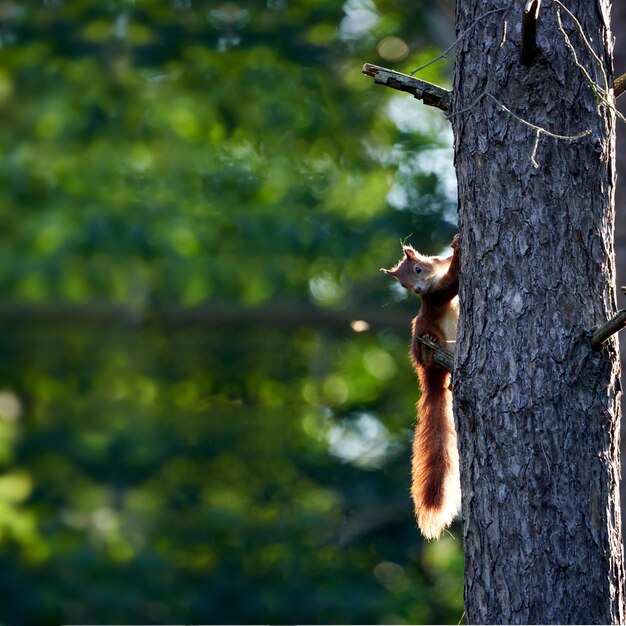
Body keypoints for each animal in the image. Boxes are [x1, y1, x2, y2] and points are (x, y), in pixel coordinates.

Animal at [380, 234, 458, 536]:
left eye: (417, 269)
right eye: (401, 285)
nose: (418, 290)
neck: (433, 277)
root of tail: (430, 378)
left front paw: (454, 244)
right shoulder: (435, 297)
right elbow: (453, 282)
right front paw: (460, 249)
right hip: (426, 334)